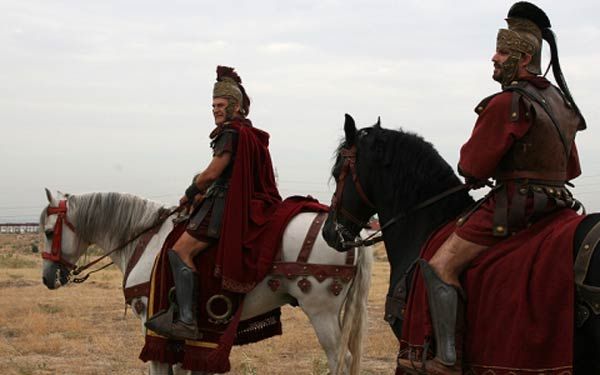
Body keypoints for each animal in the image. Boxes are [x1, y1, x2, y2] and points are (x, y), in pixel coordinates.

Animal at [39, 191, 370, 375]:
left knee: (341, 360)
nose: (47, 277)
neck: (144, 240)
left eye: (47, 231)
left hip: (321, 311)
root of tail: (350, 235)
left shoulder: (149, 322)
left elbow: (160, 366)